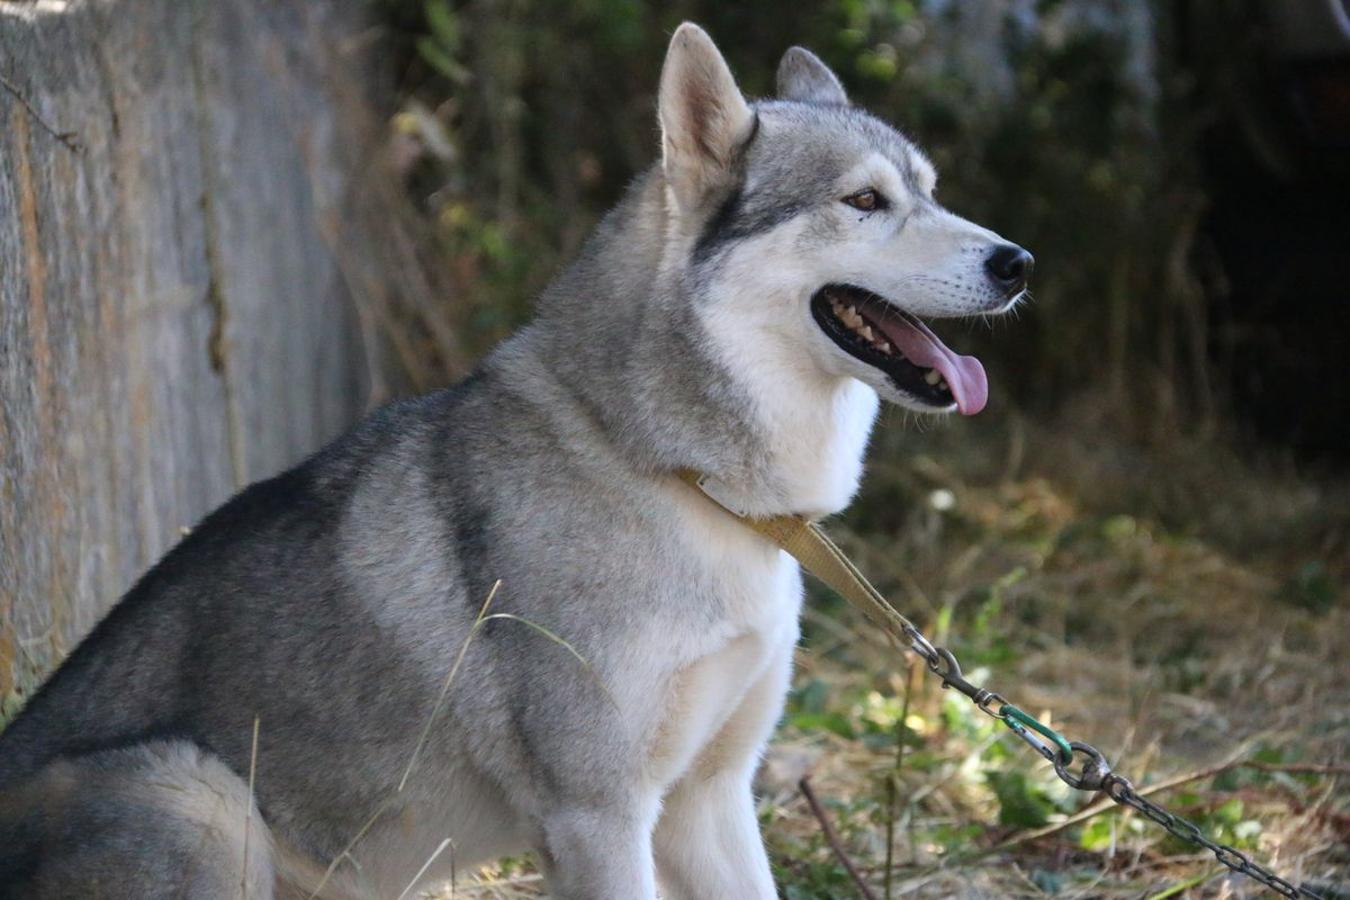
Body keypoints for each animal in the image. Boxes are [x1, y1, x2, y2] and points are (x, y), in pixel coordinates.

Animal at [0, 21, 1026, 900]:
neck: (675, 474)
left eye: (931, 192)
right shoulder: (600, 816)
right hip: (201, 796)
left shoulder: (708, 802)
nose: (1018, 261)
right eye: (865, 202)